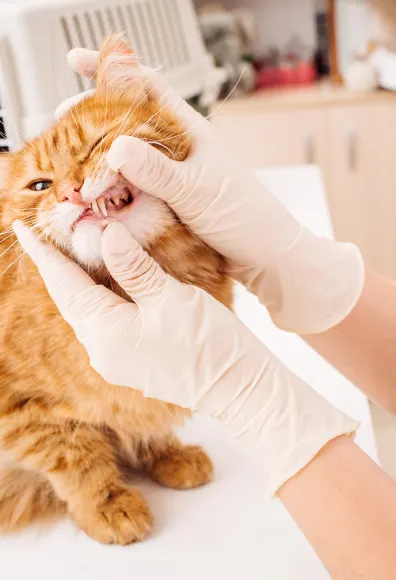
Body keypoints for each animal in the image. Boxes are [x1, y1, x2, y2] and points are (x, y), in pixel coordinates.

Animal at [0, 35, 232, 544]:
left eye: (95, 144)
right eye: (40, 185)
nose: (70, 191)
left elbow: (143, 420)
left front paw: (167, 454)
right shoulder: (23, 412)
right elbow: (75, 457)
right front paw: (107, 504)